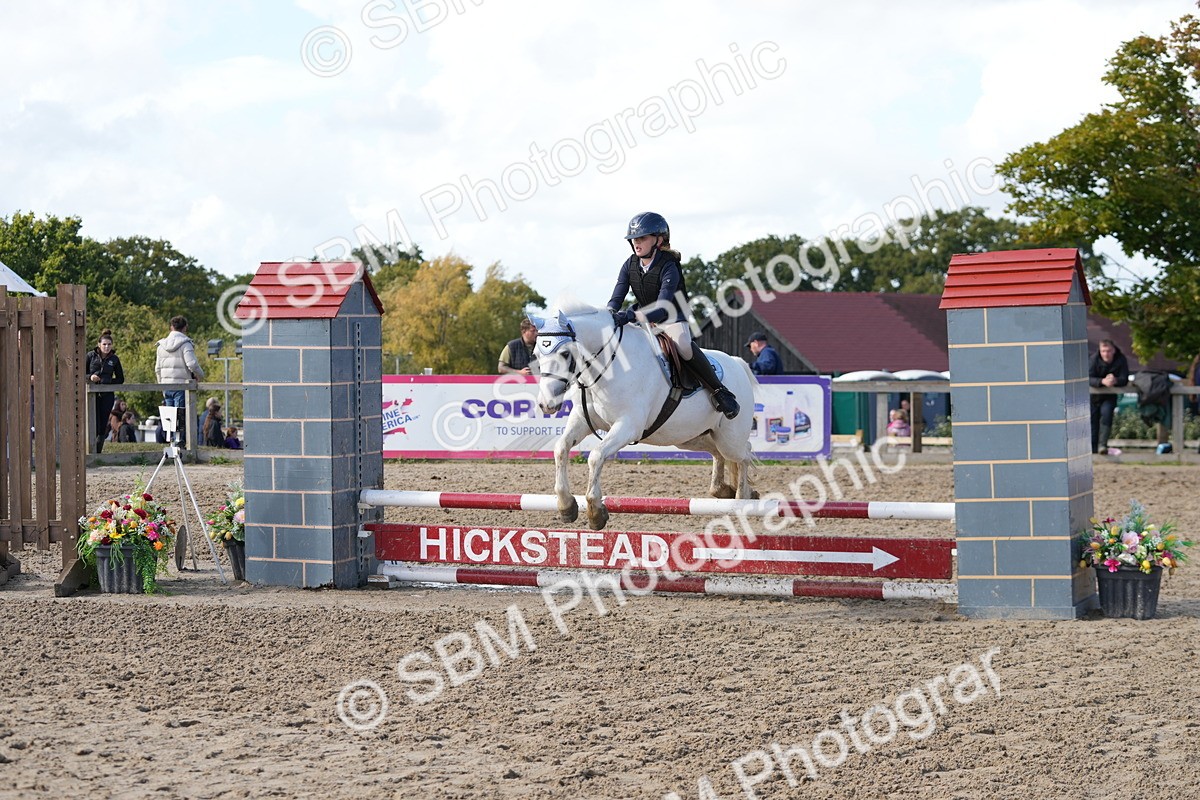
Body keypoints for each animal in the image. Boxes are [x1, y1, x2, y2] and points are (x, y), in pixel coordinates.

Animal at [532, 300, 757, 530]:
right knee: (719, 454)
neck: (608, 365)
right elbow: (561, 448)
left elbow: (596, 456)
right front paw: (566, 505)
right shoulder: (582, 420)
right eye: (536, 355)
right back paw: (723, 490)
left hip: (729, 439)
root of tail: (737, 362)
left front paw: (595, 511)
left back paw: (743, 495)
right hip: (692, 438)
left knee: (744, 454)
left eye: (565, 354)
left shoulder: (628, 426)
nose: (546, 404)